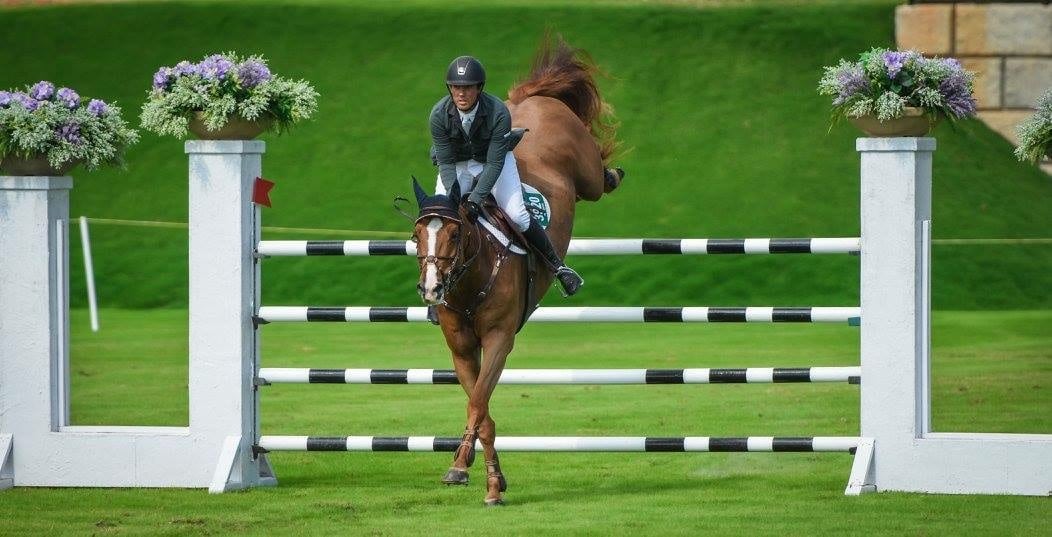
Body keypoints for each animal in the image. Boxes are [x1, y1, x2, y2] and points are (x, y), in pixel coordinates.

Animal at [410, 38, 622, 507]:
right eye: (416, 236)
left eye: (455, 234)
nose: (432, 290)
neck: (469, 283)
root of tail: (533, 99)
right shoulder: (461, 347)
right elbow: (482, 409)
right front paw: (484, 475)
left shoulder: (499, 339)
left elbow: (478, 404)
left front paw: (469, 472)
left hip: (583, 171)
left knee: (599, 177)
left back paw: (614, 175)